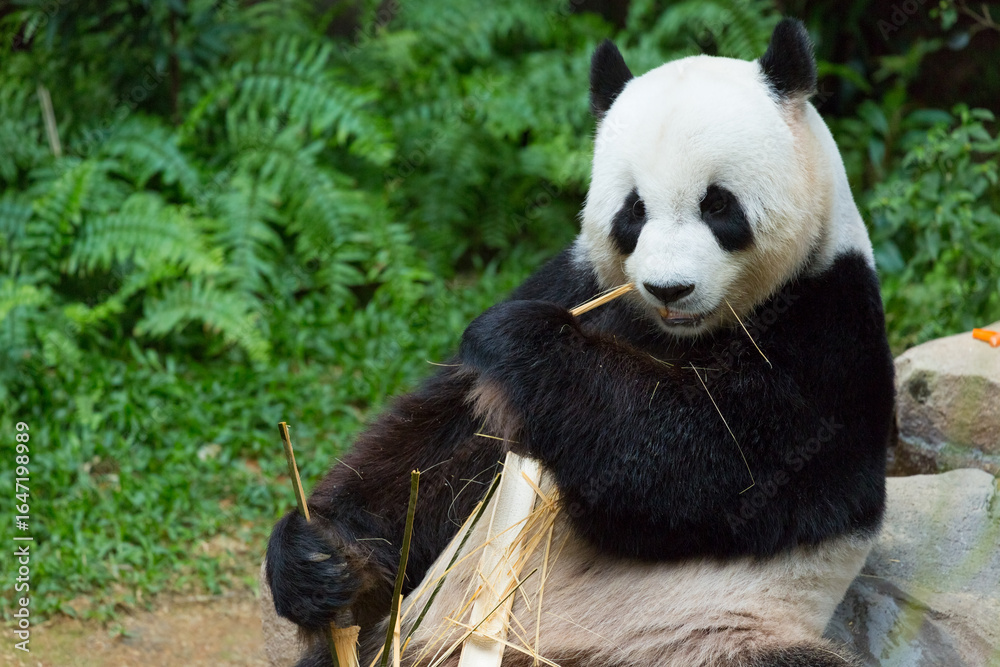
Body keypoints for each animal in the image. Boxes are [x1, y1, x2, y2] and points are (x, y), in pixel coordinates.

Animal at [263, 18, 894, 667]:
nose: (669, 288)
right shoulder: (577, 280)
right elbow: (443, 444)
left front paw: (519, 343)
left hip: (709, 639)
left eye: (718, 204)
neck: (680, 333)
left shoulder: (827, 326)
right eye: (633, 211)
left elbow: (714, 462)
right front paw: (321, 553)